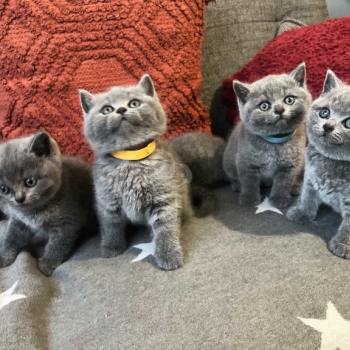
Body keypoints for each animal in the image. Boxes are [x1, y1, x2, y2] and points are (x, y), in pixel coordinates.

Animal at [0, 131, 95, 276]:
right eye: (4, 189)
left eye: (30, 181)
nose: (19, 198)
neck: (35, 211)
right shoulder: (18, 221)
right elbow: (11, 237)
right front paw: (4, 256)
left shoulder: (66, 223)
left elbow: (57, 245)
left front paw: (47, 264)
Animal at [79, 74, 193, 270]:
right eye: (107, 109)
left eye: (134, 103)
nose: (121, 109)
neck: (130, 160)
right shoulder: (107, 200)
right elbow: (110, 225)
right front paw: (111, 248)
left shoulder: (163, 198)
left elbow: (166, 228)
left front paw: (169, 255)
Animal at [223, 63, 310, 208]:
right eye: (264, 106)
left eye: (289, 99)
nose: (279, 109)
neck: (274, 142)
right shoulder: (246, 161)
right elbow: (249, 181)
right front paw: (249, 199)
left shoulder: (289, 165)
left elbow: (282, 183)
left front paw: (279, 199)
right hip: (228, 161)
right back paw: (237, 186)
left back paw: (296, 187)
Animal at [288, 69, 350, 258]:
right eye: (324, 113)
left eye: (349, 122)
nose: (328, 126)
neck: (332, 161)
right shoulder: (309, 178)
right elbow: (308, 197)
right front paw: (302, 212)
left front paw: (343, 244)